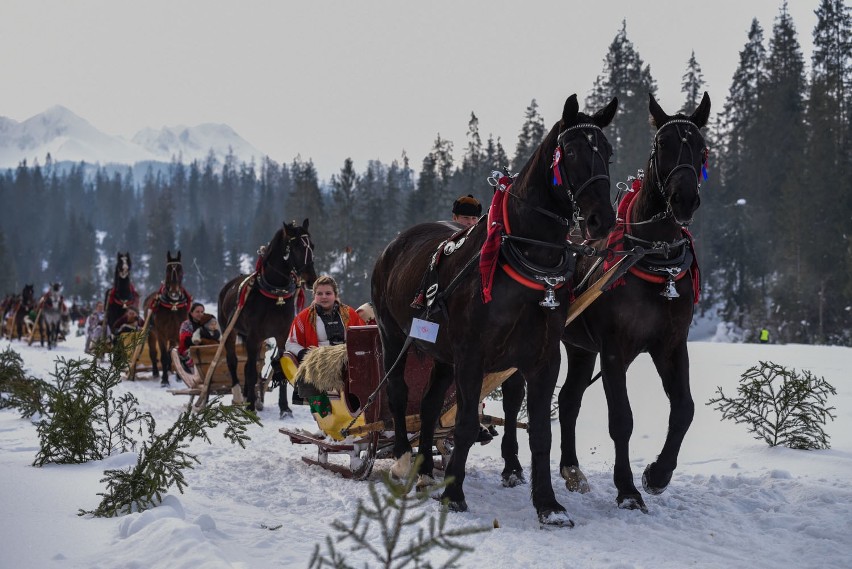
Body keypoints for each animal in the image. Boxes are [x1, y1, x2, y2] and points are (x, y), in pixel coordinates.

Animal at [142, 252, 191, 386]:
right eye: (167, 270)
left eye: (180, 270)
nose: (174, 292)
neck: (173, 305)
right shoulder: (161, 334)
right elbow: (163, 356)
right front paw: (164, 380)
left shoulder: (177, 333)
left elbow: (177, 355)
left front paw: (179, 377)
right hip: (151, 333)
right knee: (153, 352)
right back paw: (155, 372)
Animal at [218, 220, 318, 410]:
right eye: (296, 247)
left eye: (312, 246)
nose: (311, 279)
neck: (275, 294)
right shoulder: (253, 336)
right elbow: (250, 371)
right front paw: (250, 406)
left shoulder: (282, 335)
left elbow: (280, 367)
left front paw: (284, 408)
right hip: (229, 330)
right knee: (233, 361)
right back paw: (239, 396)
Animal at [372, 93, 620, 524]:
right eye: (571, 151)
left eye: (606, 150)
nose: (600, 219)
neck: (524, 256)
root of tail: (395, 244)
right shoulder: (472, 355)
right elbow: (467, 423)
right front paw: (454, 495)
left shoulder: (543, 358)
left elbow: (539, 431)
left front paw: (548, 504)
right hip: (394, 336)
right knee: (400, 393)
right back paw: (404, 459)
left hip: (442, 353)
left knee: (430, 404)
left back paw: (425, 469)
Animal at [552, 92, 712, 510]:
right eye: (662, 144)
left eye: (701, 147)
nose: (684, 199)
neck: (653, 257)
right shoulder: (613, 348)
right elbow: (621, 419)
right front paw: (627, 489)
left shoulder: (670, 344)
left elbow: (684, 408)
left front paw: (657, 474)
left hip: (579, 348)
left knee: (569, 399)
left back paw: (571, 470)